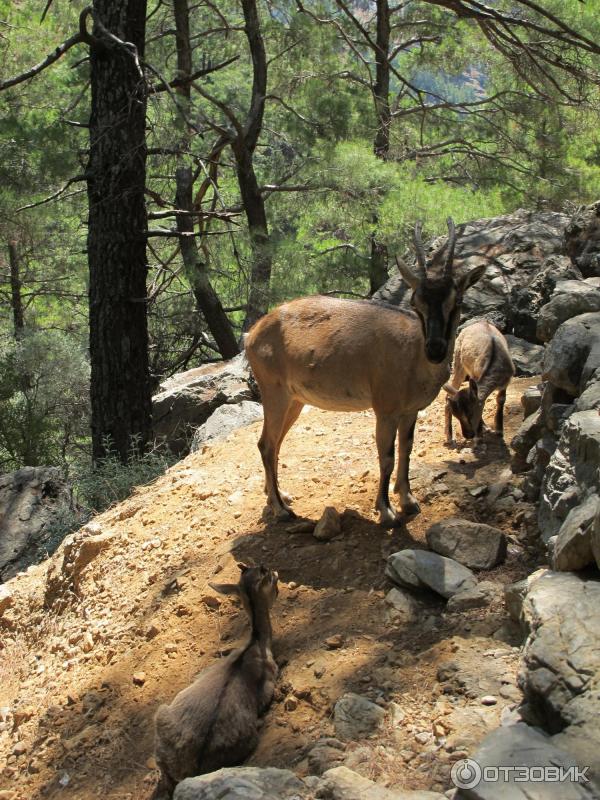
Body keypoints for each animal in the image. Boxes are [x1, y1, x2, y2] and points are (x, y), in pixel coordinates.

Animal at [152, 564, 278, 800]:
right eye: (273, 580)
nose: (276, 574)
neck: (255, 643)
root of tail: (190, 766)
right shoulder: (269, 683)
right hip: (247, 739)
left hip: (161, 716)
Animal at [246, 219, 486, 524]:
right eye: (415, 303)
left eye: (457, 302)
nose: (435, 349)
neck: (411, 355)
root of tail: (253, 335)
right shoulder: (385, 409)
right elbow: (387, 456)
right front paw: (387, 511)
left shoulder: (410, 411)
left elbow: (407, 449)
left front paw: (408, 500)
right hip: (274, 393)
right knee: (266, 444)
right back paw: (281, 508)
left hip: (294, 400)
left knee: (274, 443)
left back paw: (278, 496)